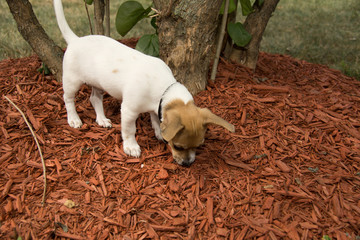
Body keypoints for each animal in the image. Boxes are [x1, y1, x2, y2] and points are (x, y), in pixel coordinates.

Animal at [52, 0, 233, 166]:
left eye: (198, 146)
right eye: (178, 146)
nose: (188, 163)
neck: (162, 88)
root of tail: (75, 40)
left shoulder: (156, 107)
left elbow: (156, 120)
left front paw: (159, 132)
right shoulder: (129, 111)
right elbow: (129, 130)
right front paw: (131, 147)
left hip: (98, 84)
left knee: (94, 99)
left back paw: (102, 119)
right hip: (72, 81)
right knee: (68, 99)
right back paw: (74, 119)